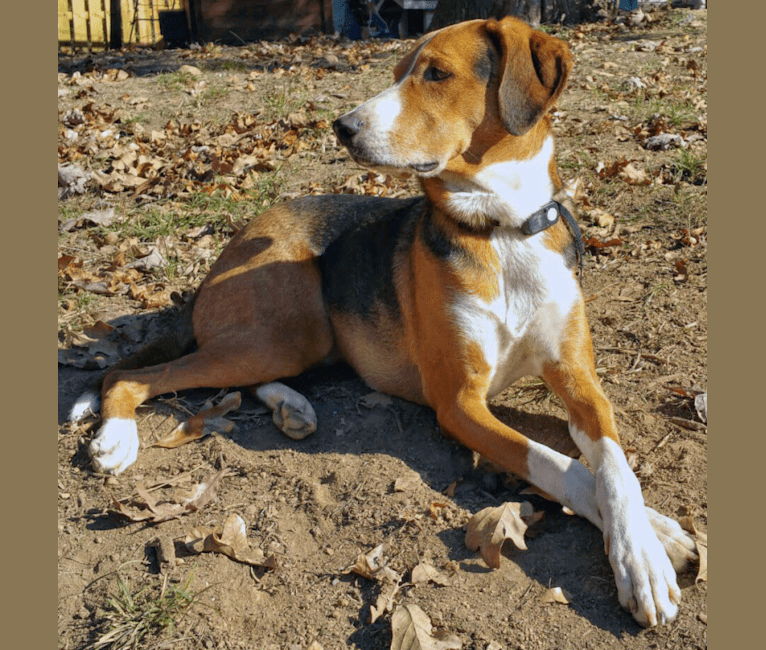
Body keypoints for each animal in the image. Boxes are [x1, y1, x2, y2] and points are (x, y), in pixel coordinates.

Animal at [72, 17, 704, 628]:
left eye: (436, 73)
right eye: (398, 72)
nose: (342, 127)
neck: (500, 228)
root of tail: (226, 252)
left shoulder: (578, 379)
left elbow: (613, 466)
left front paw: (648, 539)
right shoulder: (459, 403)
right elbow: (561, 467)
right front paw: (651, 552)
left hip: (292, 343)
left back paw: (292, 406)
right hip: (286, 330)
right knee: (127, 377)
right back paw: (117, 438)